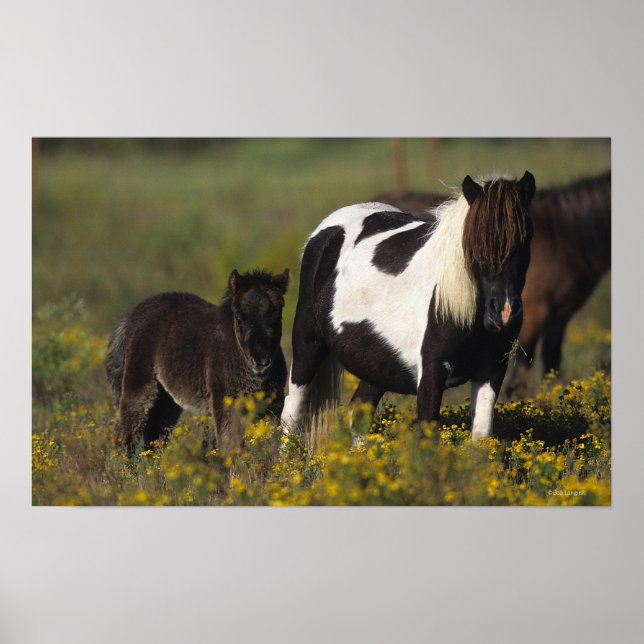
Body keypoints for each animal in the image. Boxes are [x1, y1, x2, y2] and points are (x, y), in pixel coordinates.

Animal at [106, 268, 290, 454]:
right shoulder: (225, 402)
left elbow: (271, 443)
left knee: (155, 435)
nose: (261, 360)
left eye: (278, 317)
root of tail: (131, 316)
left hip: (167, 399)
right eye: (239, 318)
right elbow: (230, 444)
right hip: (139, 384)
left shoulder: (273, 404)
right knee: (127, 430)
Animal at [281, 172, 535, 443]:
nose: (504, 311)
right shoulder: (432, 372)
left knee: (358, 411)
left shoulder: (492, 369)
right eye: (474, 242)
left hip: (377, 364)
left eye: (527, 238)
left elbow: (481, 435)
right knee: (292, 414)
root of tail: (326, 229)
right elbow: (427, 432)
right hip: (308, 345)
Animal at [374, 170, 611, 397]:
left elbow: (551, 371)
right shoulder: (533, 319)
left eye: (528, 237)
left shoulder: (559, 320)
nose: (503, 307)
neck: (562, 238)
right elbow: (518, 384)